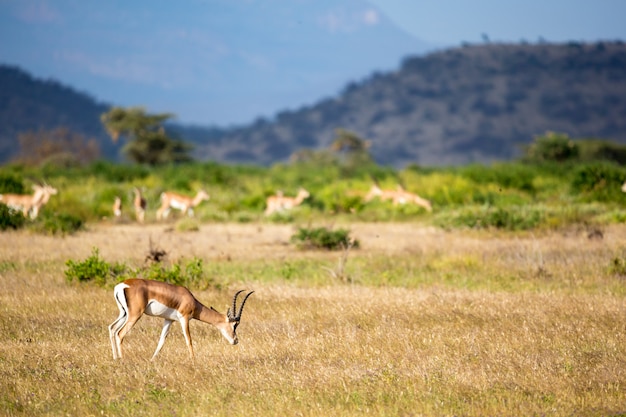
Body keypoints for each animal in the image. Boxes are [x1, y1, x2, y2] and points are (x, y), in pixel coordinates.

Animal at [109, 280, 254, 360]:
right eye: (235, 325)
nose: (235, 340)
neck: (190, 300)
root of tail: (122, 285)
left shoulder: (168, 320)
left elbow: (161, 342)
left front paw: (152, 360)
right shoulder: (184, 319)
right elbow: (189, 340)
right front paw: (194, 361)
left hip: (124, 314)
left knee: (112, 328)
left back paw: (116, 358)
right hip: (135, 315)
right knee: (120, 333)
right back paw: (122, 359)